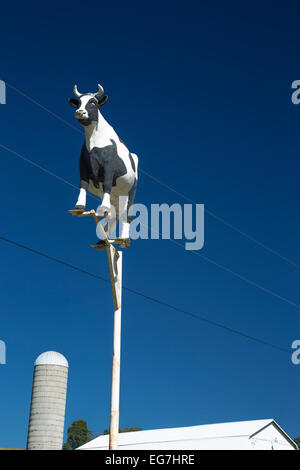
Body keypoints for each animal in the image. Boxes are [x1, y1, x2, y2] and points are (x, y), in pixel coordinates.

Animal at [69, 84, 138, 246]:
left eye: (93, 102)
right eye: (79, 103)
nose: (79, 112)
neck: (94, 141)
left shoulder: (109, 167)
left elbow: (106, 183)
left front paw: (102, 206)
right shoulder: (82, 165)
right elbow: (83, 184)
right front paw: (79, 206)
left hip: (130, 191)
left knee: (127, 214)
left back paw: (123, 238)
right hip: (116, 195)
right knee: (113, 214)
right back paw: (103, 240)